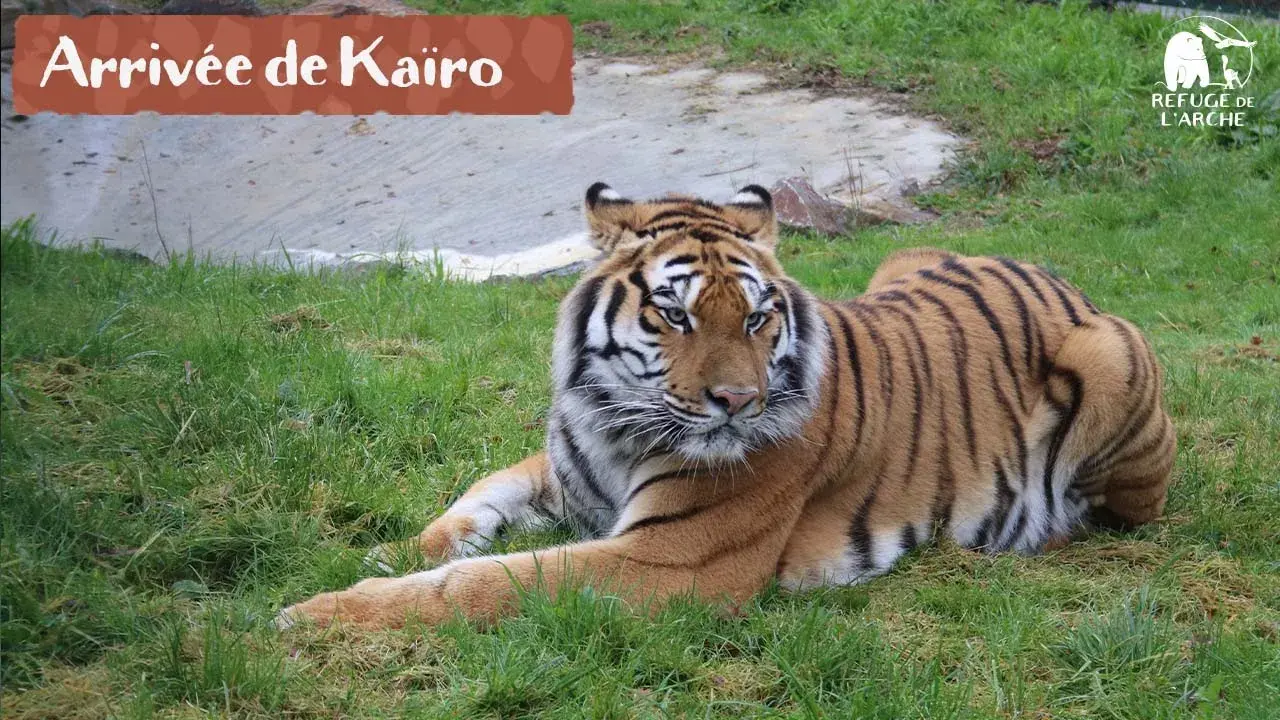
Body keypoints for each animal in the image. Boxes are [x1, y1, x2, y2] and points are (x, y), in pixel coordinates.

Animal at [277, 183, 1175, 630]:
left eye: (755, 317)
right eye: (673, 315)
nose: (739, 401)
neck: (616, 421)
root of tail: (1056, 275)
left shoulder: (669, 559)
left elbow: (484, 585)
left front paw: (313, 613)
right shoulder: (563, 472)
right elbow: (473, 502)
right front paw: (393, 551)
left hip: (1112, 356)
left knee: (1124, 511)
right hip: (906, 255)